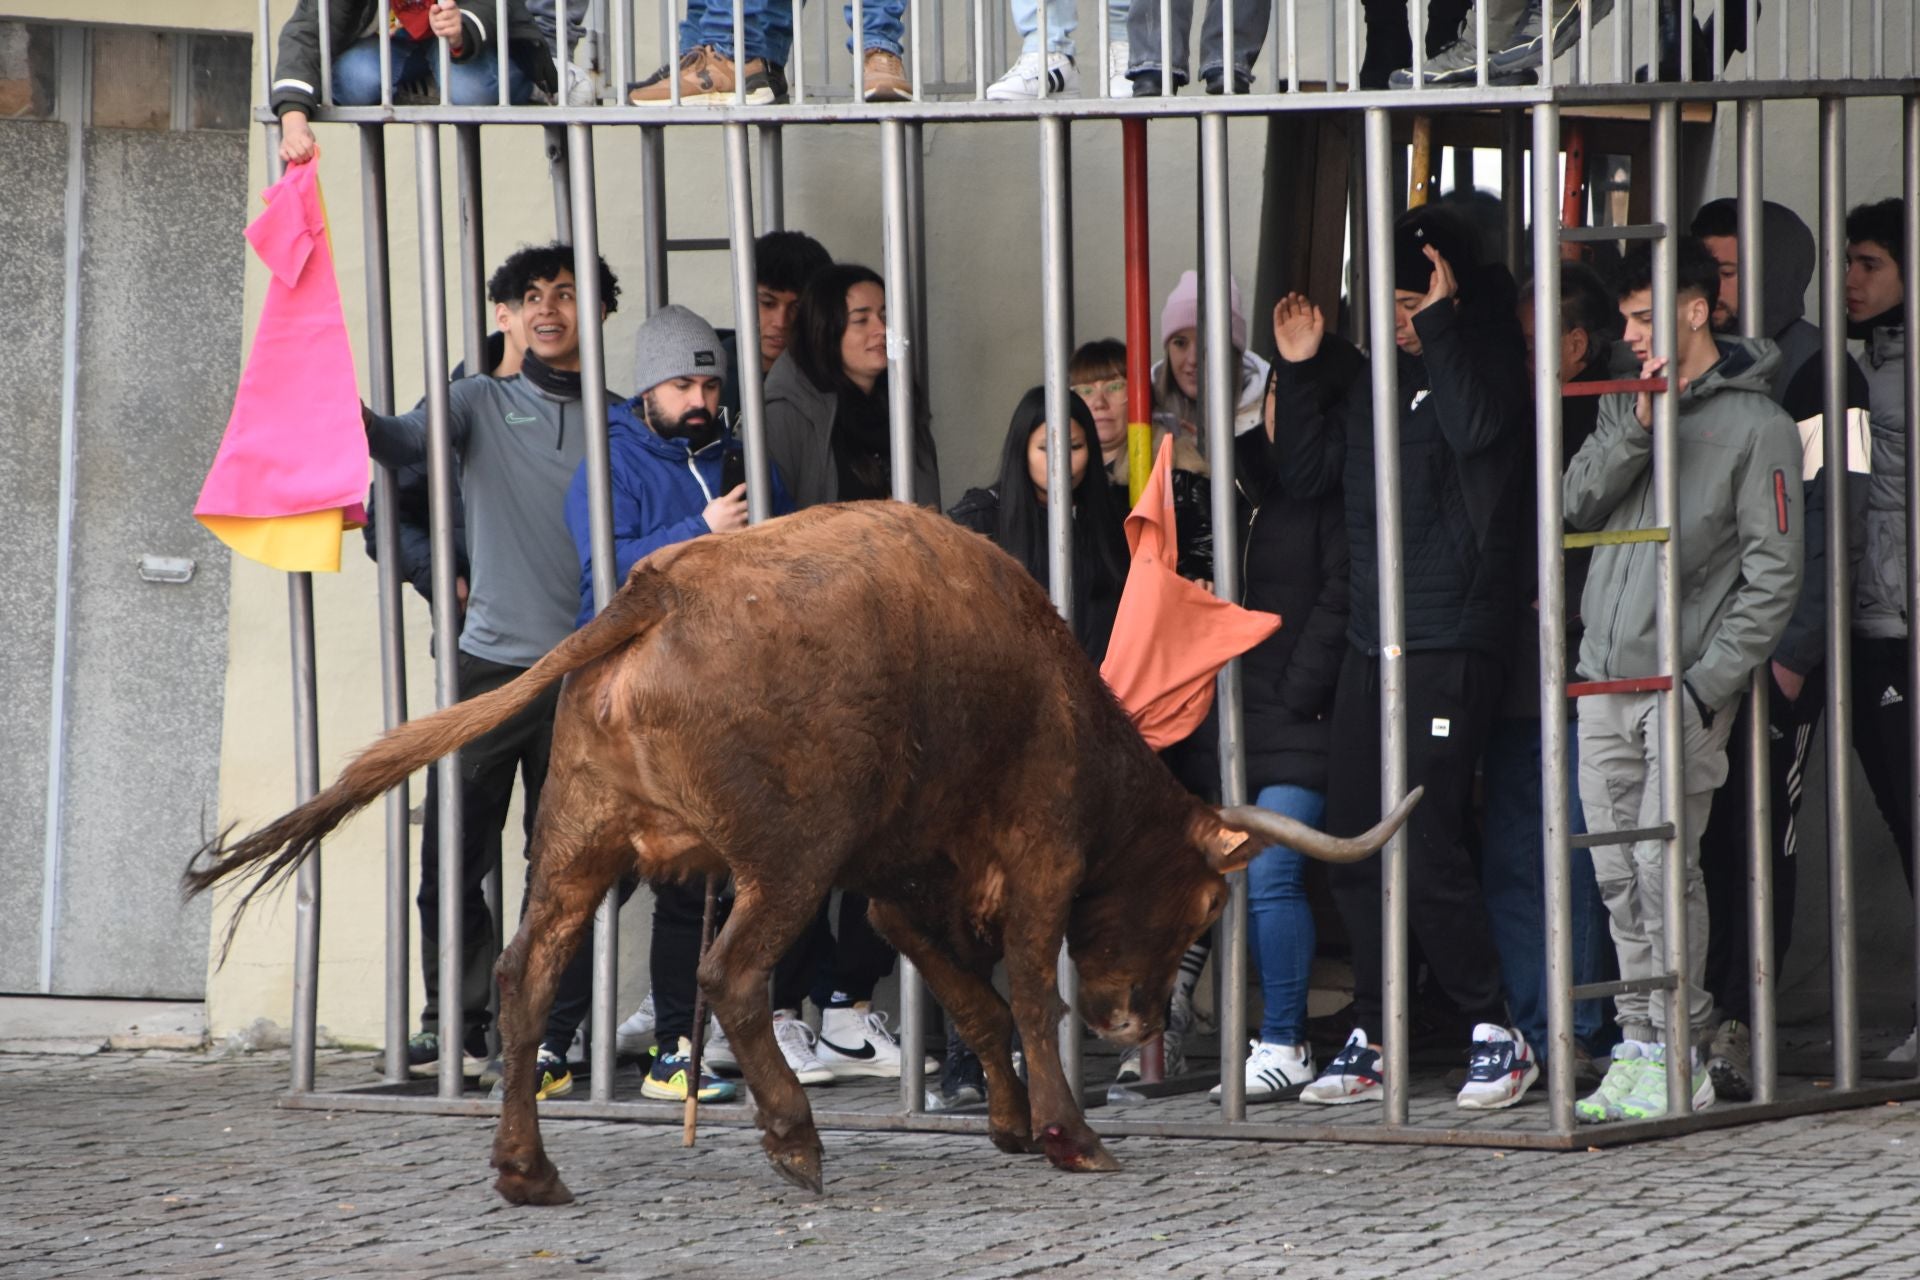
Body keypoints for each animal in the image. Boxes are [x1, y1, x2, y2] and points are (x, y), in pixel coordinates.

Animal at [183, 506, 1413, 1205]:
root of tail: (655, 592)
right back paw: (792, 1135)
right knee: (729, 974)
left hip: (581, 837)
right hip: (786, 859)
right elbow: (1022, 987)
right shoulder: (1035, 851)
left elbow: (969, 995)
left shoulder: (901, 885)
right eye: (1204, 907)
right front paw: (1070, 1131)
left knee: (531, 975)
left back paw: (529, 1170)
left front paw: (1012, 1122)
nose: (1136, 1020)